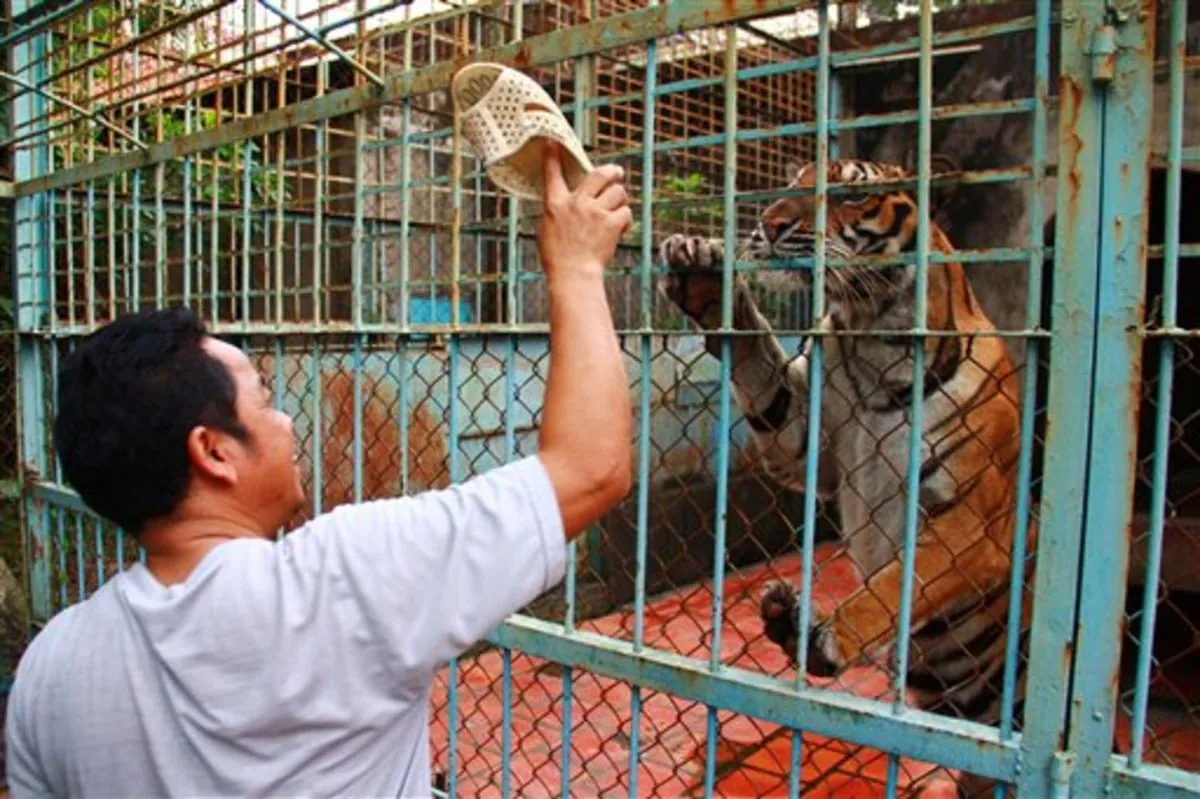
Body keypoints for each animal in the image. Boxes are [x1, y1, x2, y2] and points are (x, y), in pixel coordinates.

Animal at [652, 157, 1036, 796]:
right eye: (791, 182)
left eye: (850, 193)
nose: (771, 222)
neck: (873, 339)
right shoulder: (803, 441)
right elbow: (761, 367)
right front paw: (703, 274)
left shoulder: (972, 522)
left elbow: (900, 580)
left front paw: (823, 636)